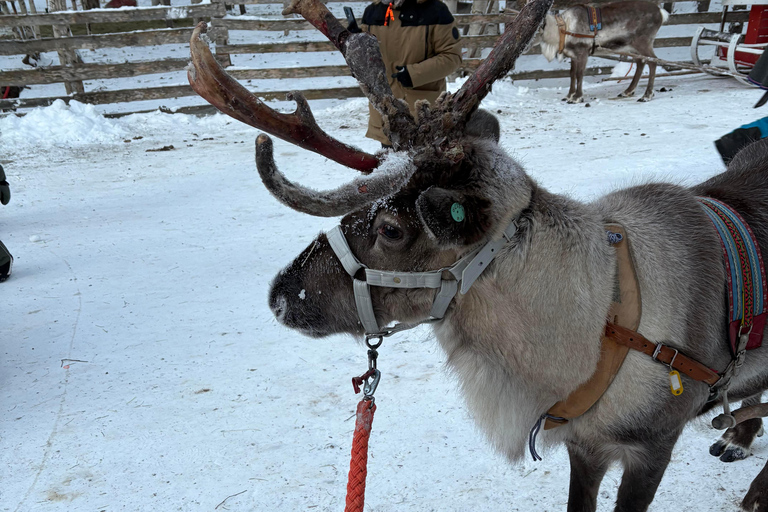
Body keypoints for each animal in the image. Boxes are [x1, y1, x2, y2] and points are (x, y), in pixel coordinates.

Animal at [537, 1, 669, 103]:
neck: (563, 30)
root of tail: (661, 12)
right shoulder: (573, 55)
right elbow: (572, 74)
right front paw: (569, 95)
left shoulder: (583, 52)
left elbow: (579, 74)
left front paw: (577, 97)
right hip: (632, 46)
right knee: (640, 62)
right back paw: (627, 91)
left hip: (643, 42)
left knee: (652, 61)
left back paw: (647, 95)